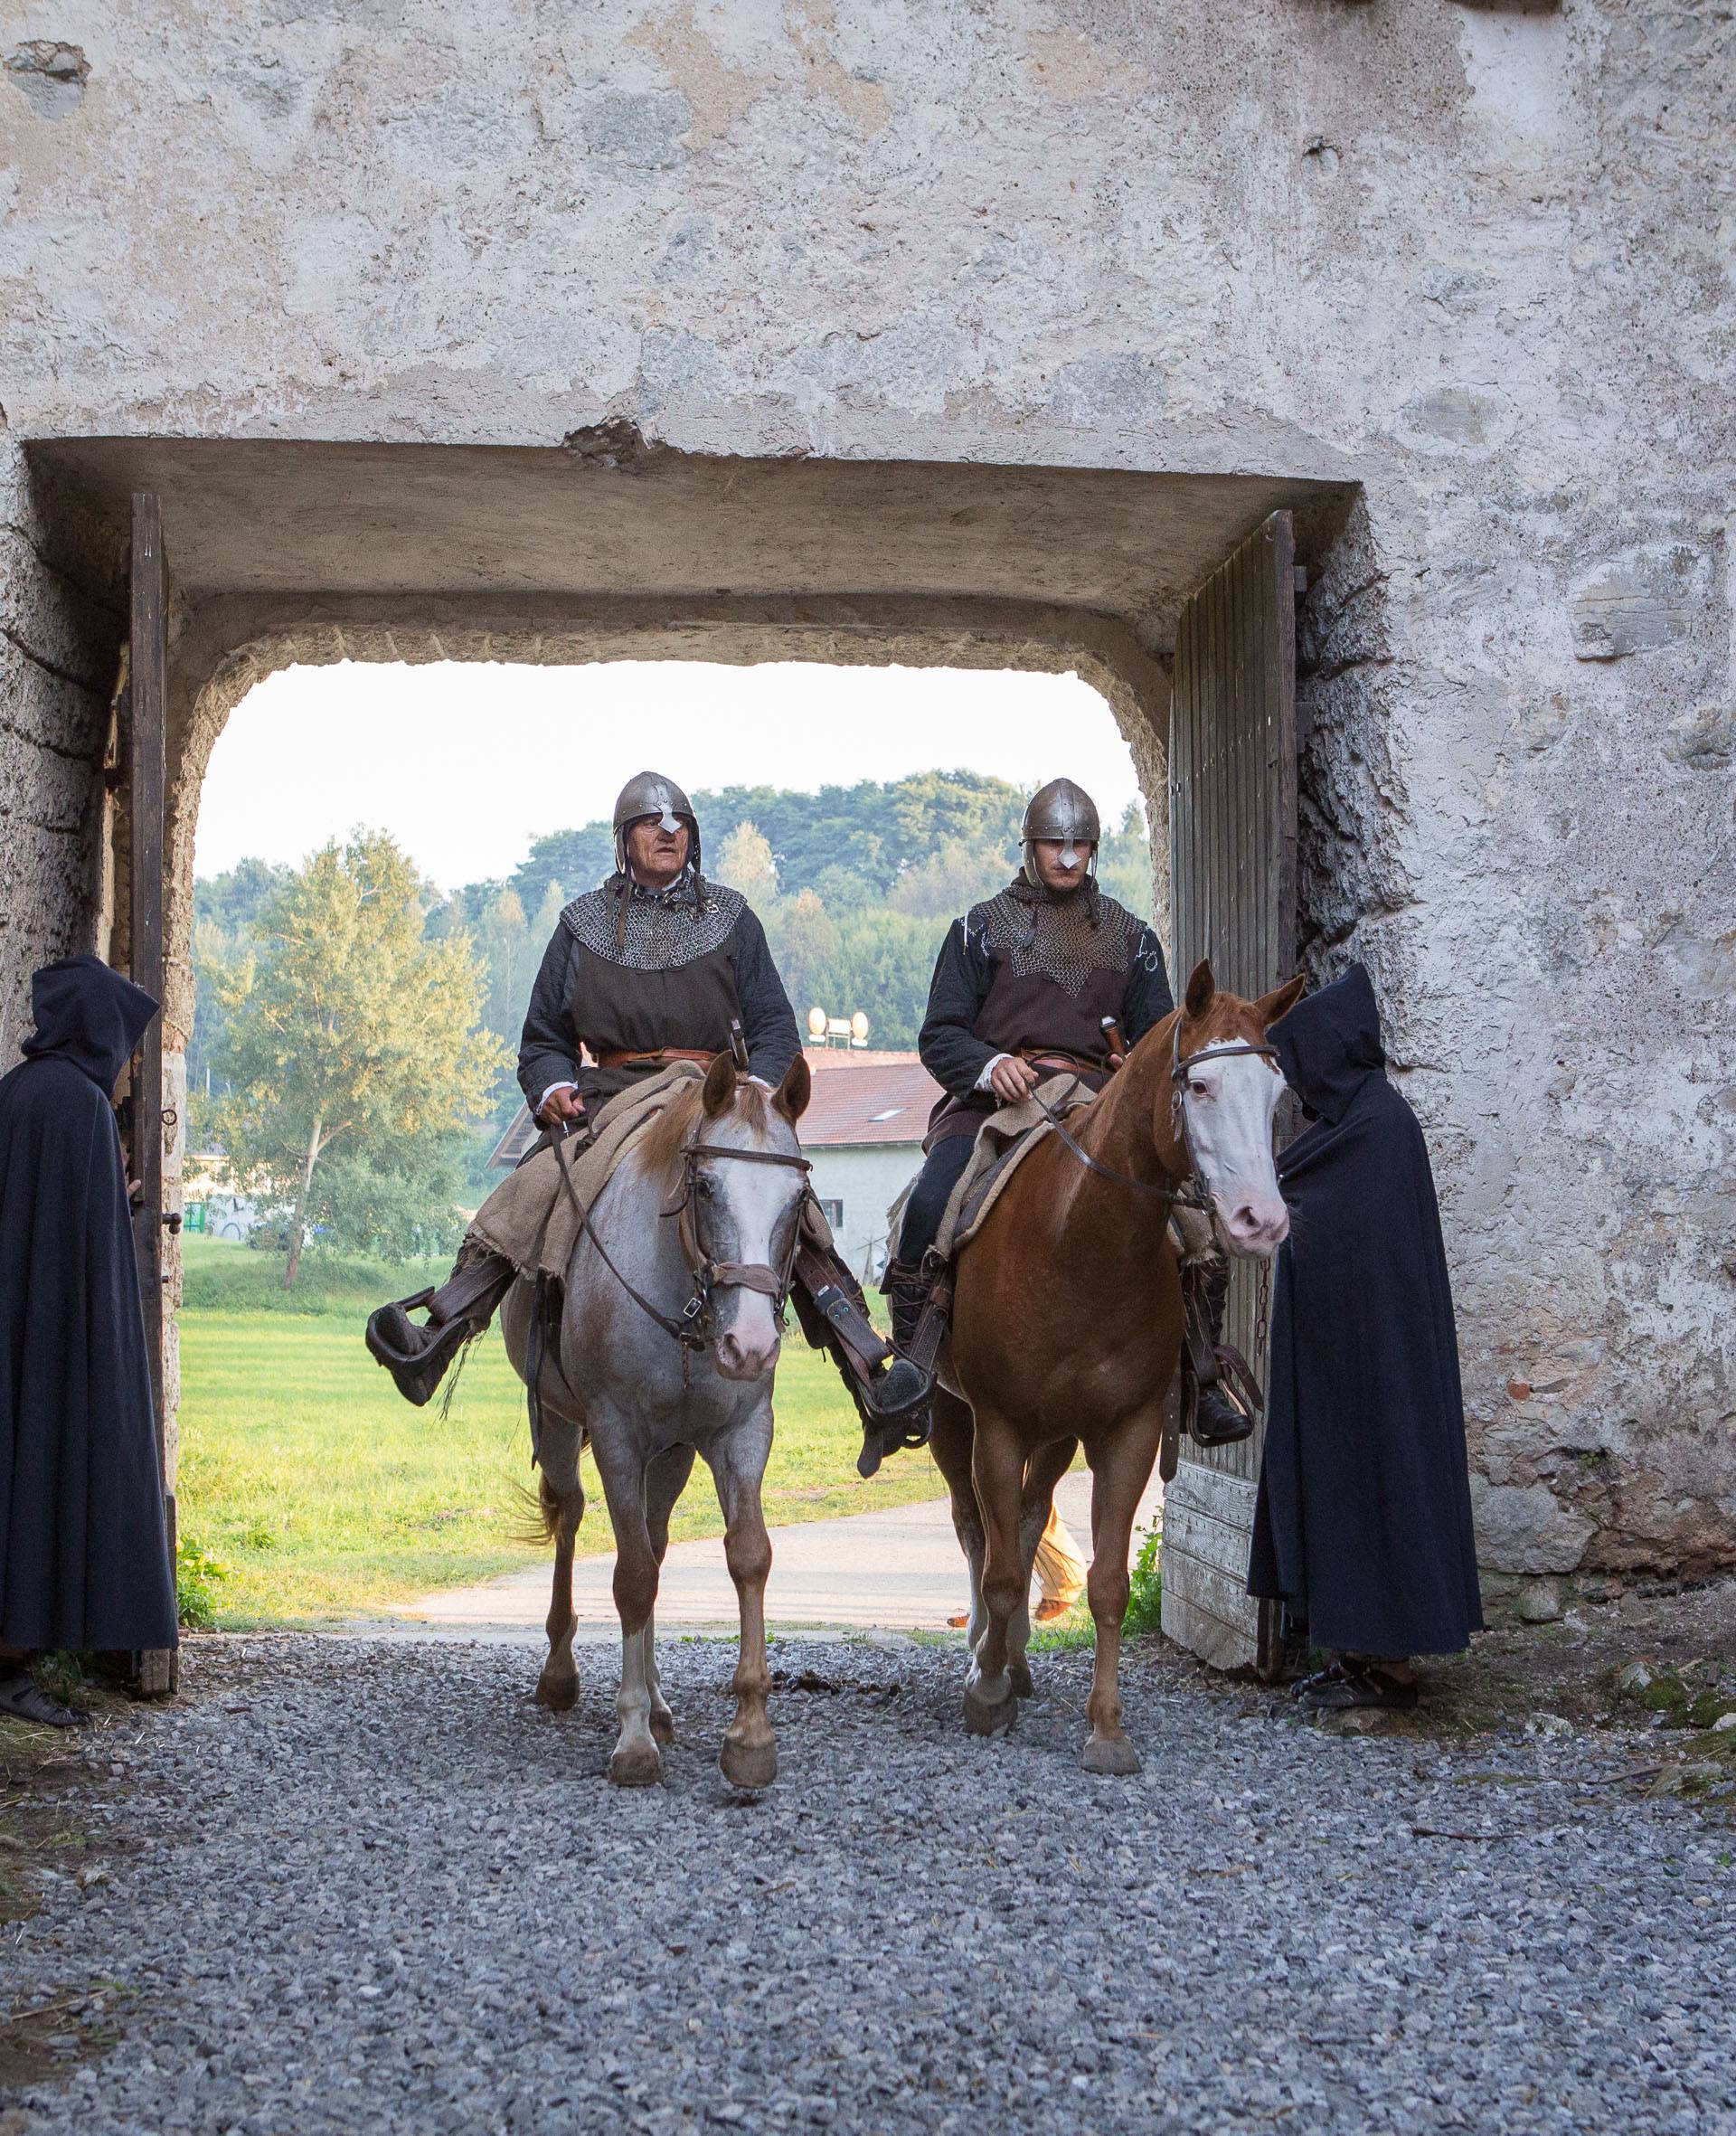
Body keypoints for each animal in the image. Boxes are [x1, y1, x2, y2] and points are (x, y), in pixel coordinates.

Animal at [501, 1051, 811, 1785]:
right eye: (704, 1186)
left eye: (797, 1201)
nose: (750, 1346)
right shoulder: (616, 1435)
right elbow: (633, 1576)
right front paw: (633, 1738)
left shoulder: (740, 1435)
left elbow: (747, 1556)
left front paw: (750, 1736)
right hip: (560, 1423)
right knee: (576, 1517)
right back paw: (562, 1675)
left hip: (672, 1453)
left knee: (657, 1538)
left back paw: (662, 1700)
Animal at [926, 960, 1289, 1777]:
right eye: (1200, 1086)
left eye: (1276, 1093)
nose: (1262, 1220)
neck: (1078, 1243)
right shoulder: (998, 1424)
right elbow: (1000, 1570)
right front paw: (985, 1695)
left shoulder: (1126, 1432)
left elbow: (1109, 1585)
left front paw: (1106, 1729)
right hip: (953, 1420)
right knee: (977, 1532)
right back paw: (985, 1658)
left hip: (1059, 1434)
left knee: (1029, 1521)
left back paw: (1016, 1661)